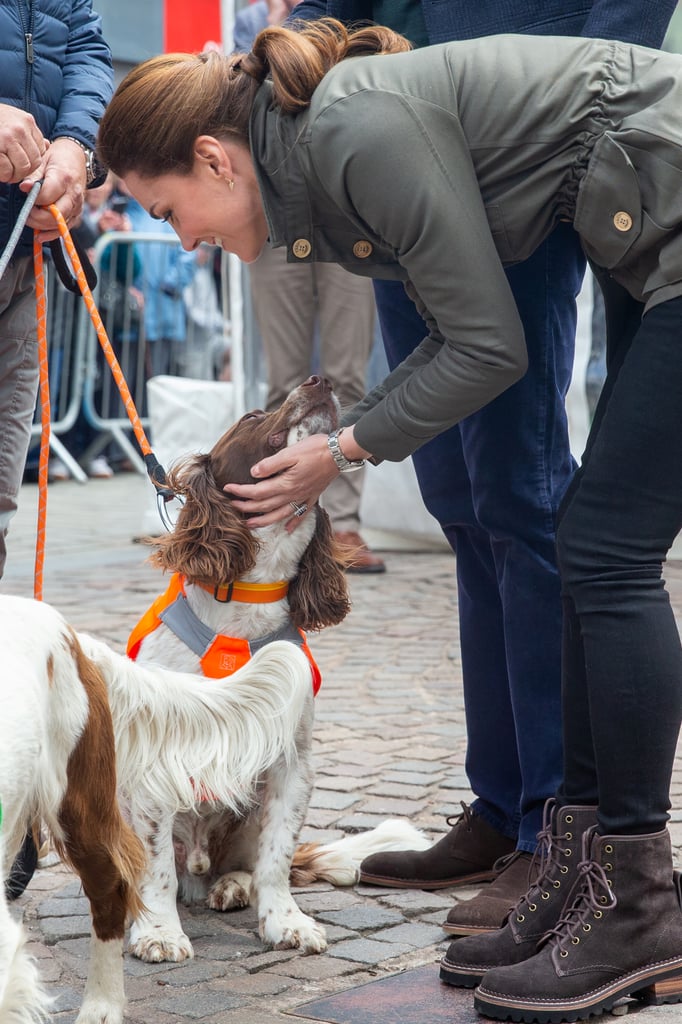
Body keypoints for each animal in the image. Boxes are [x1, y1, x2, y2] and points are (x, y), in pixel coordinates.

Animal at [124, 374, 428, 958]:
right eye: (250, 415)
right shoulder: (155, 765)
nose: (320, 379)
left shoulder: (292, 761)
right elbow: (156, 868)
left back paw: (231, 887)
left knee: (243, 864)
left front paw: (285, 922)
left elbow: (278, 858)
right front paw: (158, 932)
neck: (246, 601)